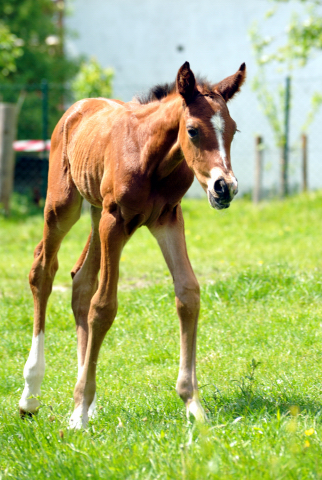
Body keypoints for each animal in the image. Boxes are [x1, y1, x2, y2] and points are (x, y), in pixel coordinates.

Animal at [19, 61, 247, 428]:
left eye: (233, 131)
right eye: (193, 131)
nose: (224, 187)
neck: (152, 157)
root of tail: (76, 107)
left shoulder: (168, 219)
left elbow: (188, 293)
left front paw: (193, 405)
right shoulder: (116, 222)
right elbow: (103, 307)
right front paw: (78, 414)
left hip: (96, 213)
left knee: (81, 281)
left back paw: (85, 401)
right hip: (63, 206)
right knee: (43, 270)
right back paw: (31, 395)